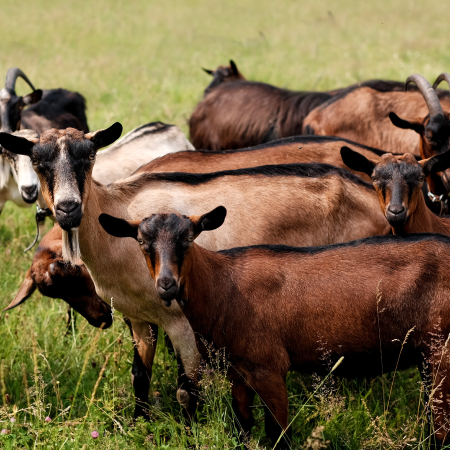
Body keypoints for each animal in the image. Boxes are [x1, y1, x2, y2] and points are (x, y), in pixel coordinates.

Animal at [98, 209, 450, 448]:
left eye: (188, 240)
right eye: (142, 243)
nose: (167, 285)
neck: (224, 287)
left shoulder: (269, 368)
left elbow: (280, 434)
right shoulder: (239, 372)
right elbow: (244, 427)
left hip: (441, 351)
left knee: (442, 428)